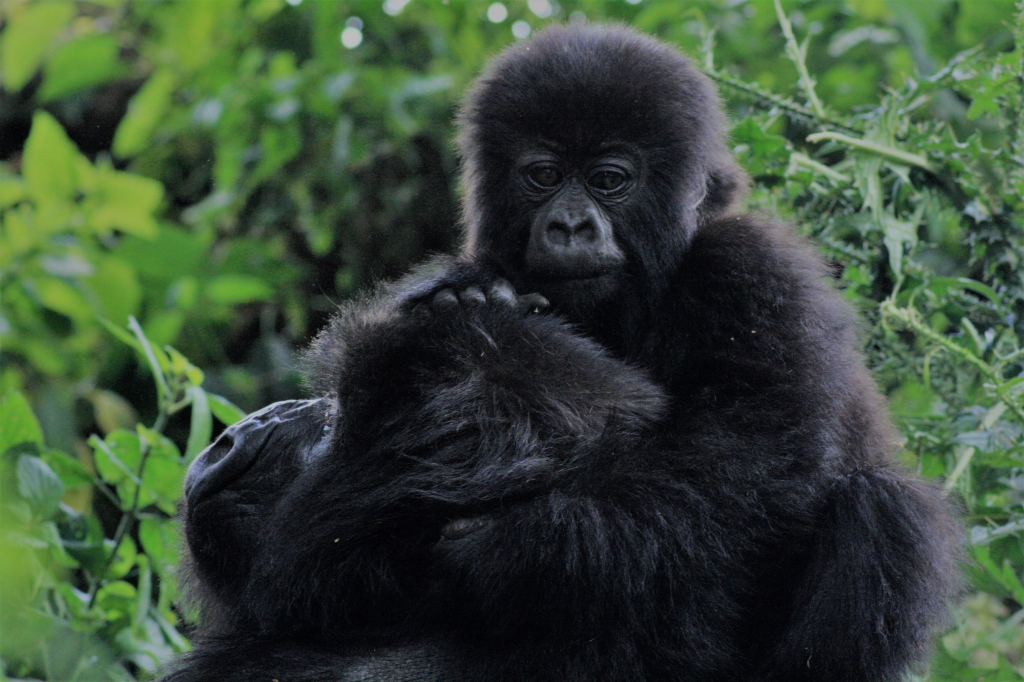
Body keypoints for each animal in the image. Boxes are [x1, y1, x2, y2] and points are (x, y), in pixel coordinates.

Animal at [165, 23, 958, 675]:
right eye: (543, 175)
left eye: (609, 181)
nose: (571, 225)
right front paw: (464, 295)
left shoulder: (751, 269)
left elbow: (758, 447)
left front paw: (531, 548)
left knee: (879, 507)